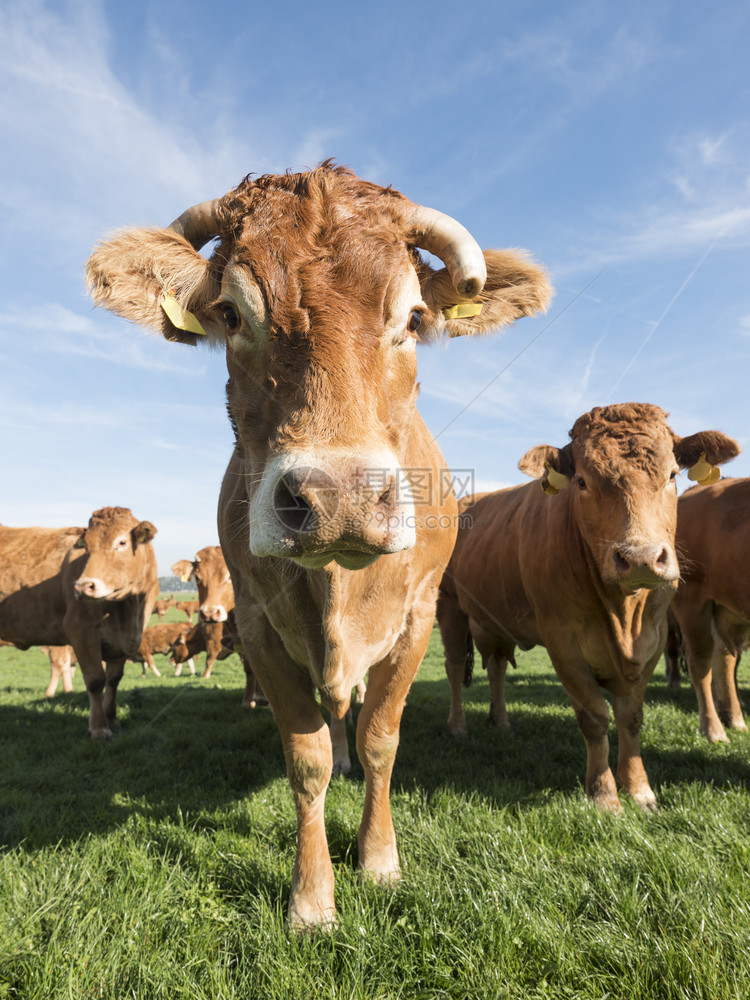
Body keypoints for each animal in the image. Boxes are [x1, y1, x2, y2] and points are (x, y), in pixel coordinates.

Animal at [0, 508, 159, 736]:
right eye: (87, 547)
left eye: (122, 542)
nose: (84, 586)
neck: (128, 611)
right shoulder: (81, 631)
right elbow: (95, 680)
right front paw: (99, 727)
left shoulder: (123, 642)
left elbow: (114, 679)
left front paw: (112, 720)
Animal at [86, 158, 552, 928]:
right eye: (232, 314)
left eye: (413, 318)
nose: (338, 499)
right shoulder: (255, 623)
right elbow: (305, 757)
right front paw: (312, 897)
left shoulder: (419, 616)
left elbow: (383, 738)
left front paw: (379, 859)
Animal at [438, 404, 736, 812]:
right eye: (581, 481)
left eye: (673, 475)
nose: (641, 558)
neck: (624, 616)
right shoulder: (563, 642)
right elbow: (594, 716)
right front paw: (604, 794)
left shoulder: (656, 637)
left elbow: (631, 717)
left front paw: (639, 789)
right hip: (448, 606)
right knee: (454, 667)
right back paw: (457, 726)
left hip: (496, 620)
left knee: (497, 667)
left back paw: (501, 720)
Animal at [668, 476, 750, 744]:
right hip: (691, 602)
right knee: (699, 663)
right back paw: (714, 730)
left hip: (725, 607)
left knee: (724, 659)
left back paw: (735, 719)